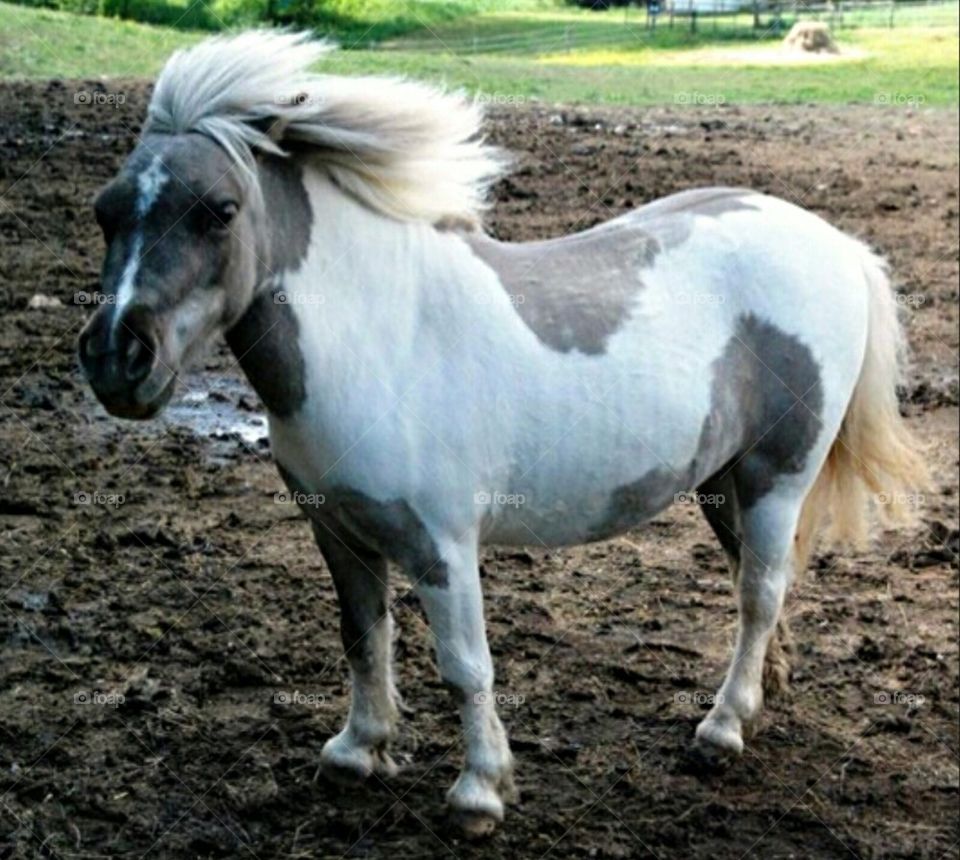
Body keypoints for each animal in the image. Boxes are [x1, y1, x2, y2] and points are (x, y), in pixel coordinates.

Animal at [78, 31, 927, 836]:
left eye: (218, 210)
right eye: (106, 210)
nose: (117, 356)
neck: (378, 339)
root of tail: (837, 245)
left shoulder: (442, 545)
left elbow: (464, 665)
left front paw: (479, 793)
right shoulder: (339, 532)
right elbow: (362, 637)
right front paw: (358, 752)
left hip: (777, 476)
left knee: (759, 591)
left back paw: (720, 730)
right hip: (723, 482)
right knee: (756, 582)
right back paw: (762, 694)